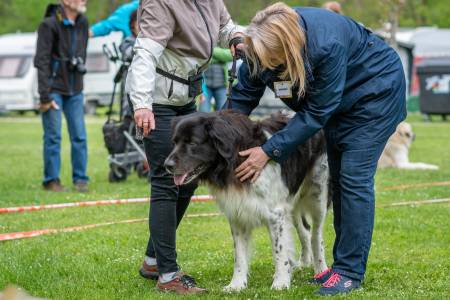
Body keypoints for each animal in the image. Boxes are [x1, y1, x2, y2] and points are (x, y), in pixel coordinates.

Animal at [163, 110, 328, 290]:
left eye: (193, 143)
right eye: (174, 142)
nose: (167, 165)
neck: (234, 161)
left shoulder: (276, 214)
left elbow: (279, 250)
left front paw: (281, 283)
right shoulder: (238, 213)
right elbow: (239, 255)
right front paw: (236, 285)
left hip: (318, 196)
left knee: (316, 234)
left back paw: (321, 269)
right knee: (305, 230)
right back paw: (304, 263)